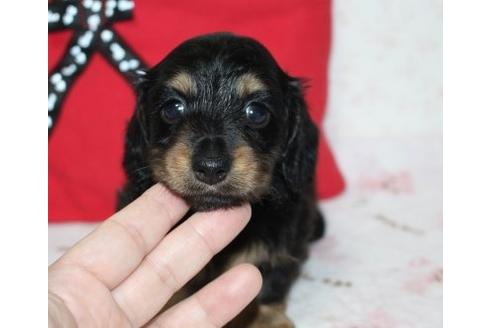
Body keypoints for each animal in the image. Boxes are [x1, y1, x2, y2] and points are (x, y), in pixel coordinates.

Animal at [118, 32, 326, 326]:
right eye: (173, 108)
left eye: (256, 112)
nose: (210, 167)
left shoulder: (281, 243)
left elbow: (268, 286)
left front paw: (268, 320)